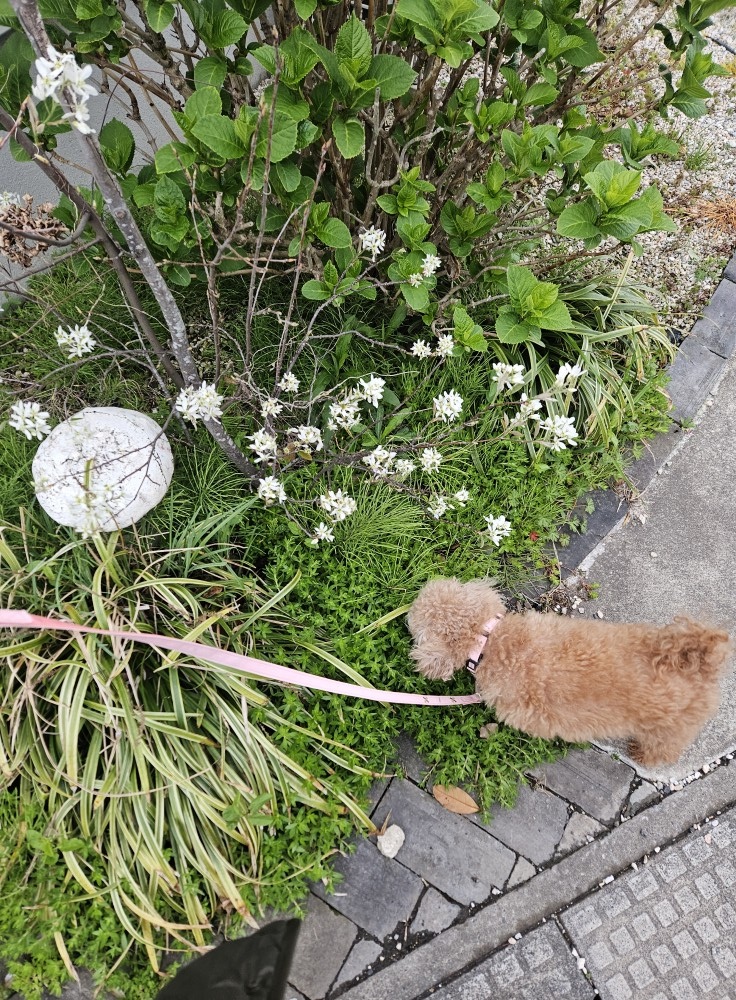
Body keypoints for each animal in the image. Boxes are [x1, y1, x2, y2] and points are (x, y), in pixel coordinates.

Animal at [407, 577, 731, 767]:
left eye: (417, 617)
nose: (408, 607)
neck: (490, 640)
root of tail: (700, 665)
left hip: (667, 730)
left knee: (664, 750)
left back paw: (642, 755)